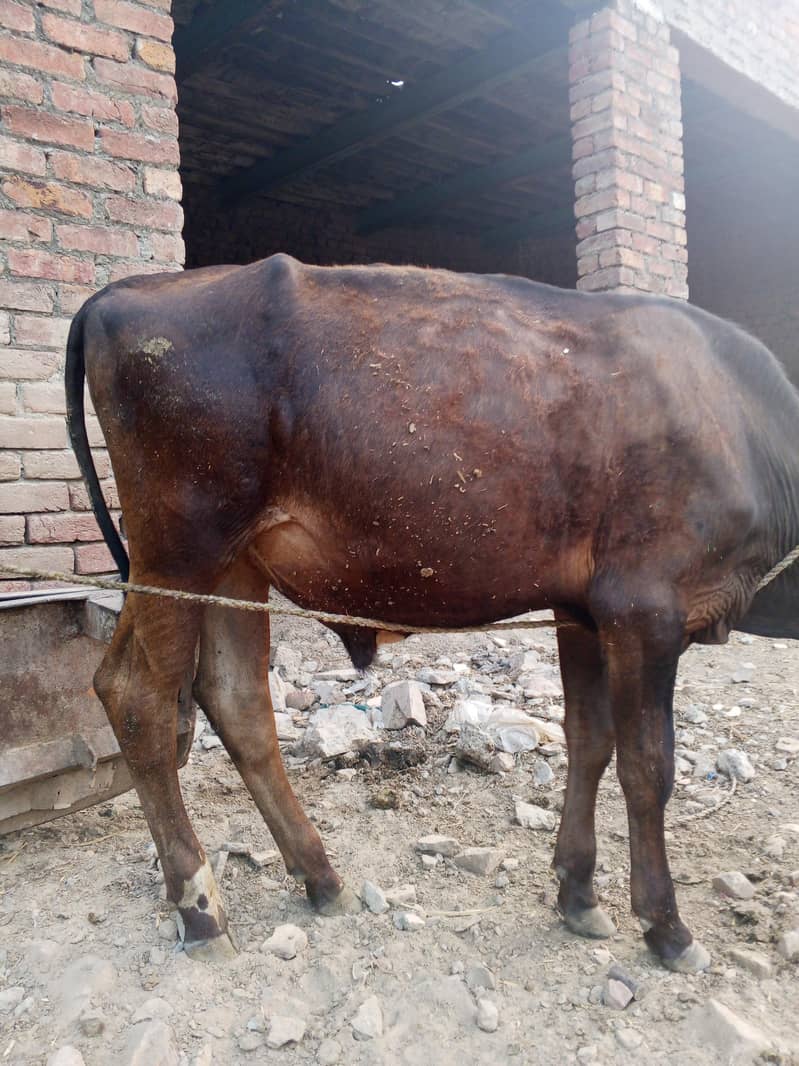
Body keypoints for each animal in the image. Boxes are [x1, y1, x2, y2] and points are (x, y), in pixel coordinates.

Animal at [65, 253, 799, 971]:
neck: (745, 425)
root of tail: (120, 295)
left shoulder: (583, 611)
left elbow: (589, 741)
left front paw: (578, 891)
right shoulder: (644, 608)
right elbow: (648, 766)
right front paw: (666, 926)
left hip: (230, 567)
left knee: (237, 701)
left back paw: (320, 877)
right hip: (176, 551)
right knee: (136, 695)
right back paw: (200, 907)